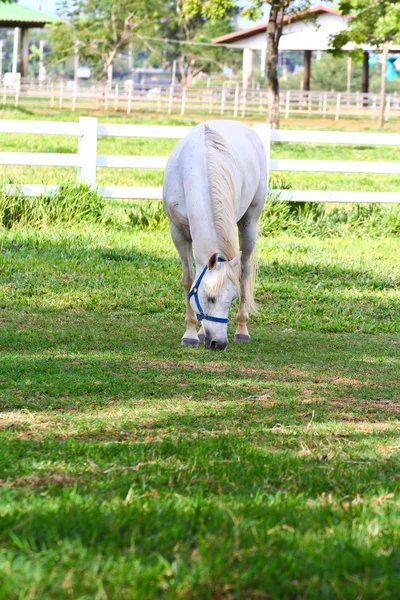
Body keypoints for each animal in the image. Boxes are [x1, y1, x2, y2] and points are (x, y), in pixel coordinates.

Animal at [162, 119, 268, 350]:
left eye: (231, 299)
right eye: (209, 298)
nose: (218, 343)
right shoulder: (178, 232)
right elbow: (189, 279)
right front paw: (191, 333)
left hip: (249, 223)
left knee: (244, 272)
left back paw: (241, 330)